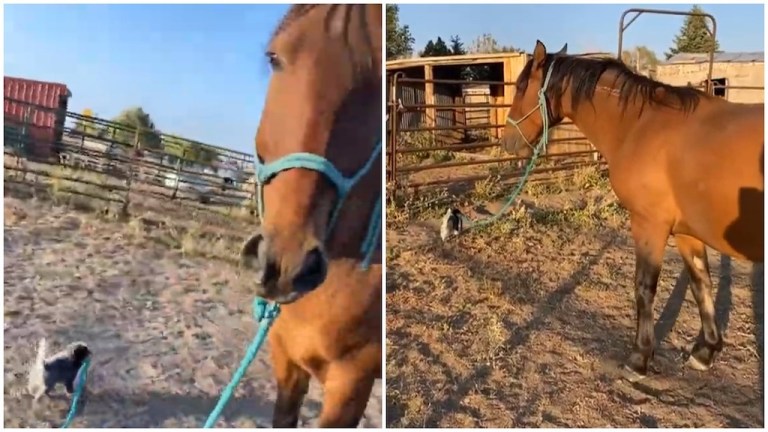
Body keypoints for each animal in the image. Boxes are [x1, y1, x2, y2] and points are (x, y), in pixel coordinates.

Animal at [504, 38, 760, 380]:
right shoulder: (686, 233)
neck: (642, 124)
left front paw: (639, 358)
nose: (507, 141)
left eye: (521, 87)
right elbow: (700, 283)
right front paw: (705, 352)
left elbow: (644, 287)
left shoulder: (648, 224)